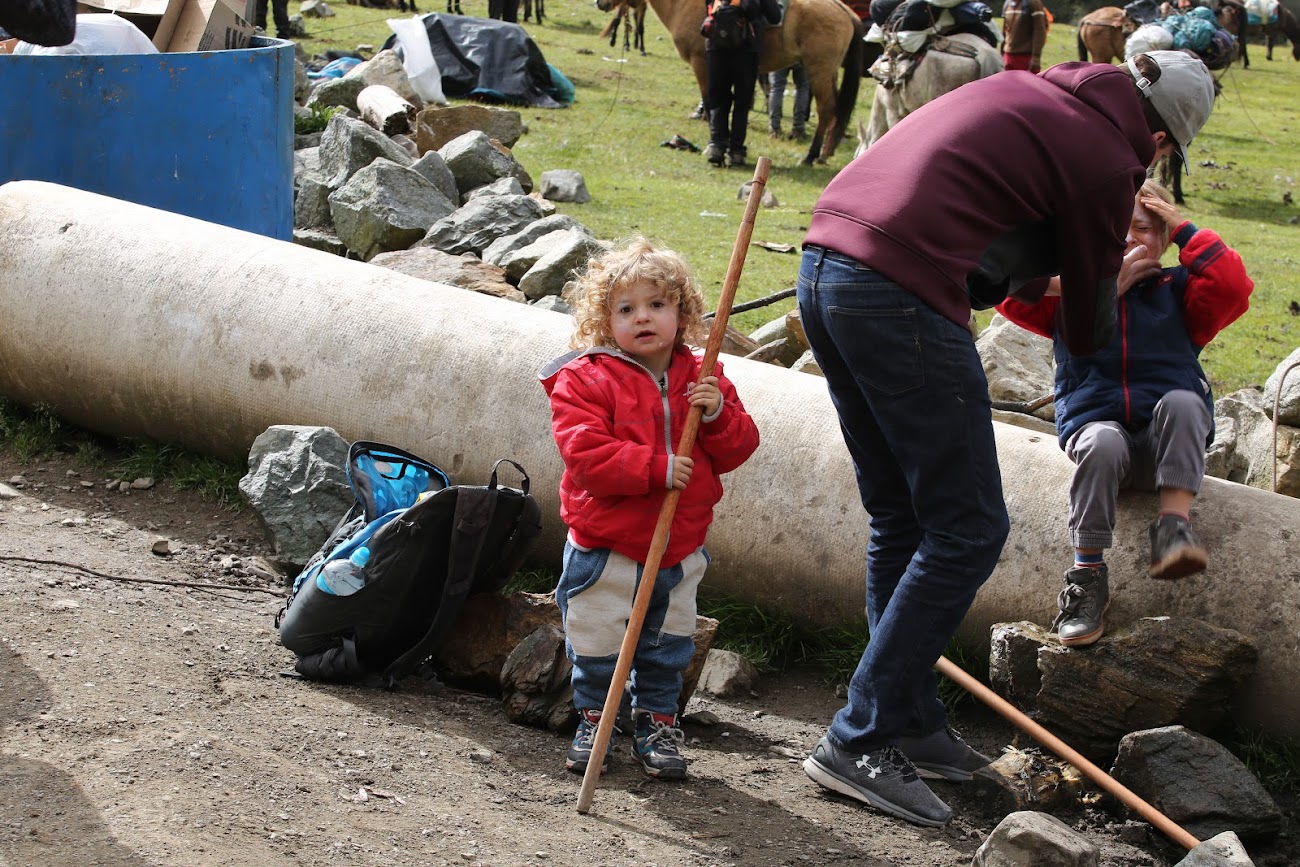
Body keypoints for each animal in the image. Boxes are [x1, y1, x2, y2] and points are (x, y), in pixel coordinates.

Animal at [639, 0, 863, 163]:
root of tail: (842, 9)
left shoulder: (702, 65)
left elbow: (713, 103)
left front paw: (716, 145)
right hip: (828, 74)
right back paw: (825, 153)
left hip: (819, 72)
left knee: (826, 110)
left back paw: (810, 156)